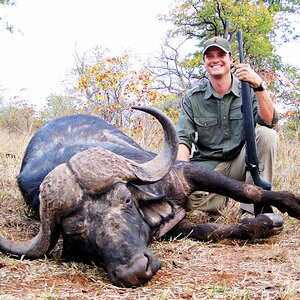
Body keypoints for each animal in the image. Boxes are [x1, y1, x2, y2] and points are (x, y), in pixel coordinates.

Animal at [0, 106, 300, 288]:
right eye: (74, 231)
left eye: (126, 200)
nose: (134, 271)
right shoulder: (174, 227)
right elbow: (210, 230)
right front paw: (263, 224)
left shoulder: (185, 172)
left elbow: (248, 190)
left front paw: (289, 206)